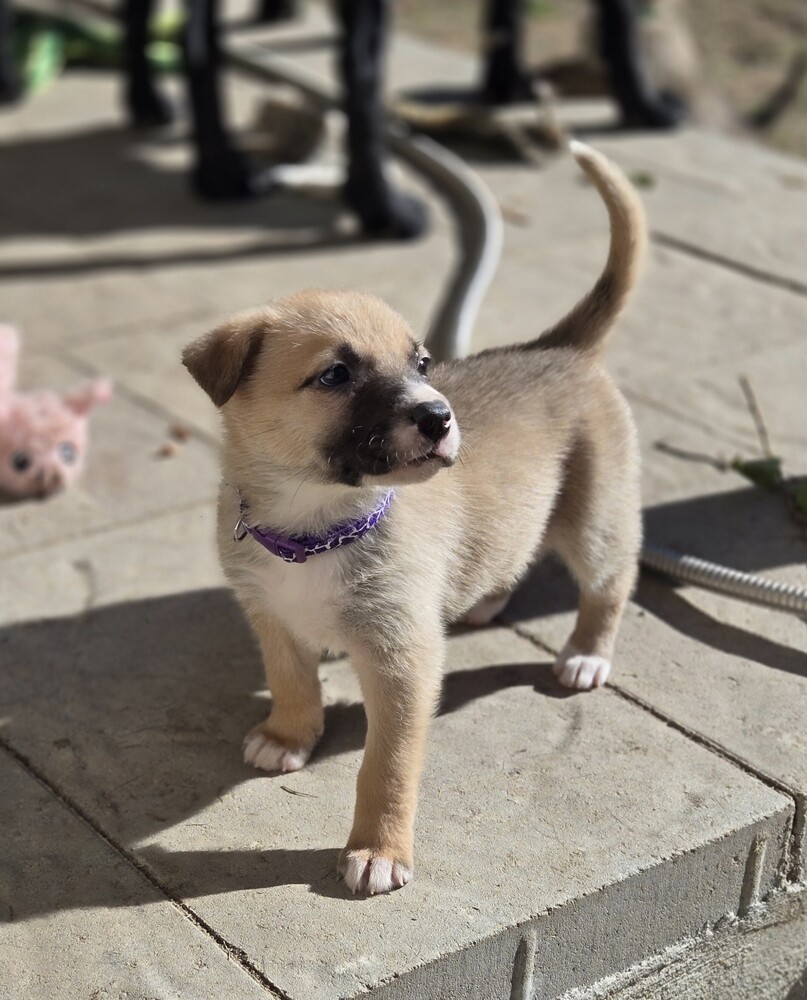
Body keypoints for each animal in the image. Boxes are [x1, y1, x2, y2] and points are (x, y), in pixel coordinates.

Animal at [181, 139, 644, 892]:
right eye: (336, 375)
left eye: (422, 362)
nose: (438, 416)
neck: (319, 523)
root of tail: (561, 348)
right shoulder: (269, 615)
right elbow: (290, 680)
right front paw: (288, 733)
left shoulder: (402, 663)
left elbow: (385, 767)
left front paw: (378, 850)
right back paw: (484, 601)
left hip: (594, 515)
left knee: (610, 580)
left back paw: (585, 654)